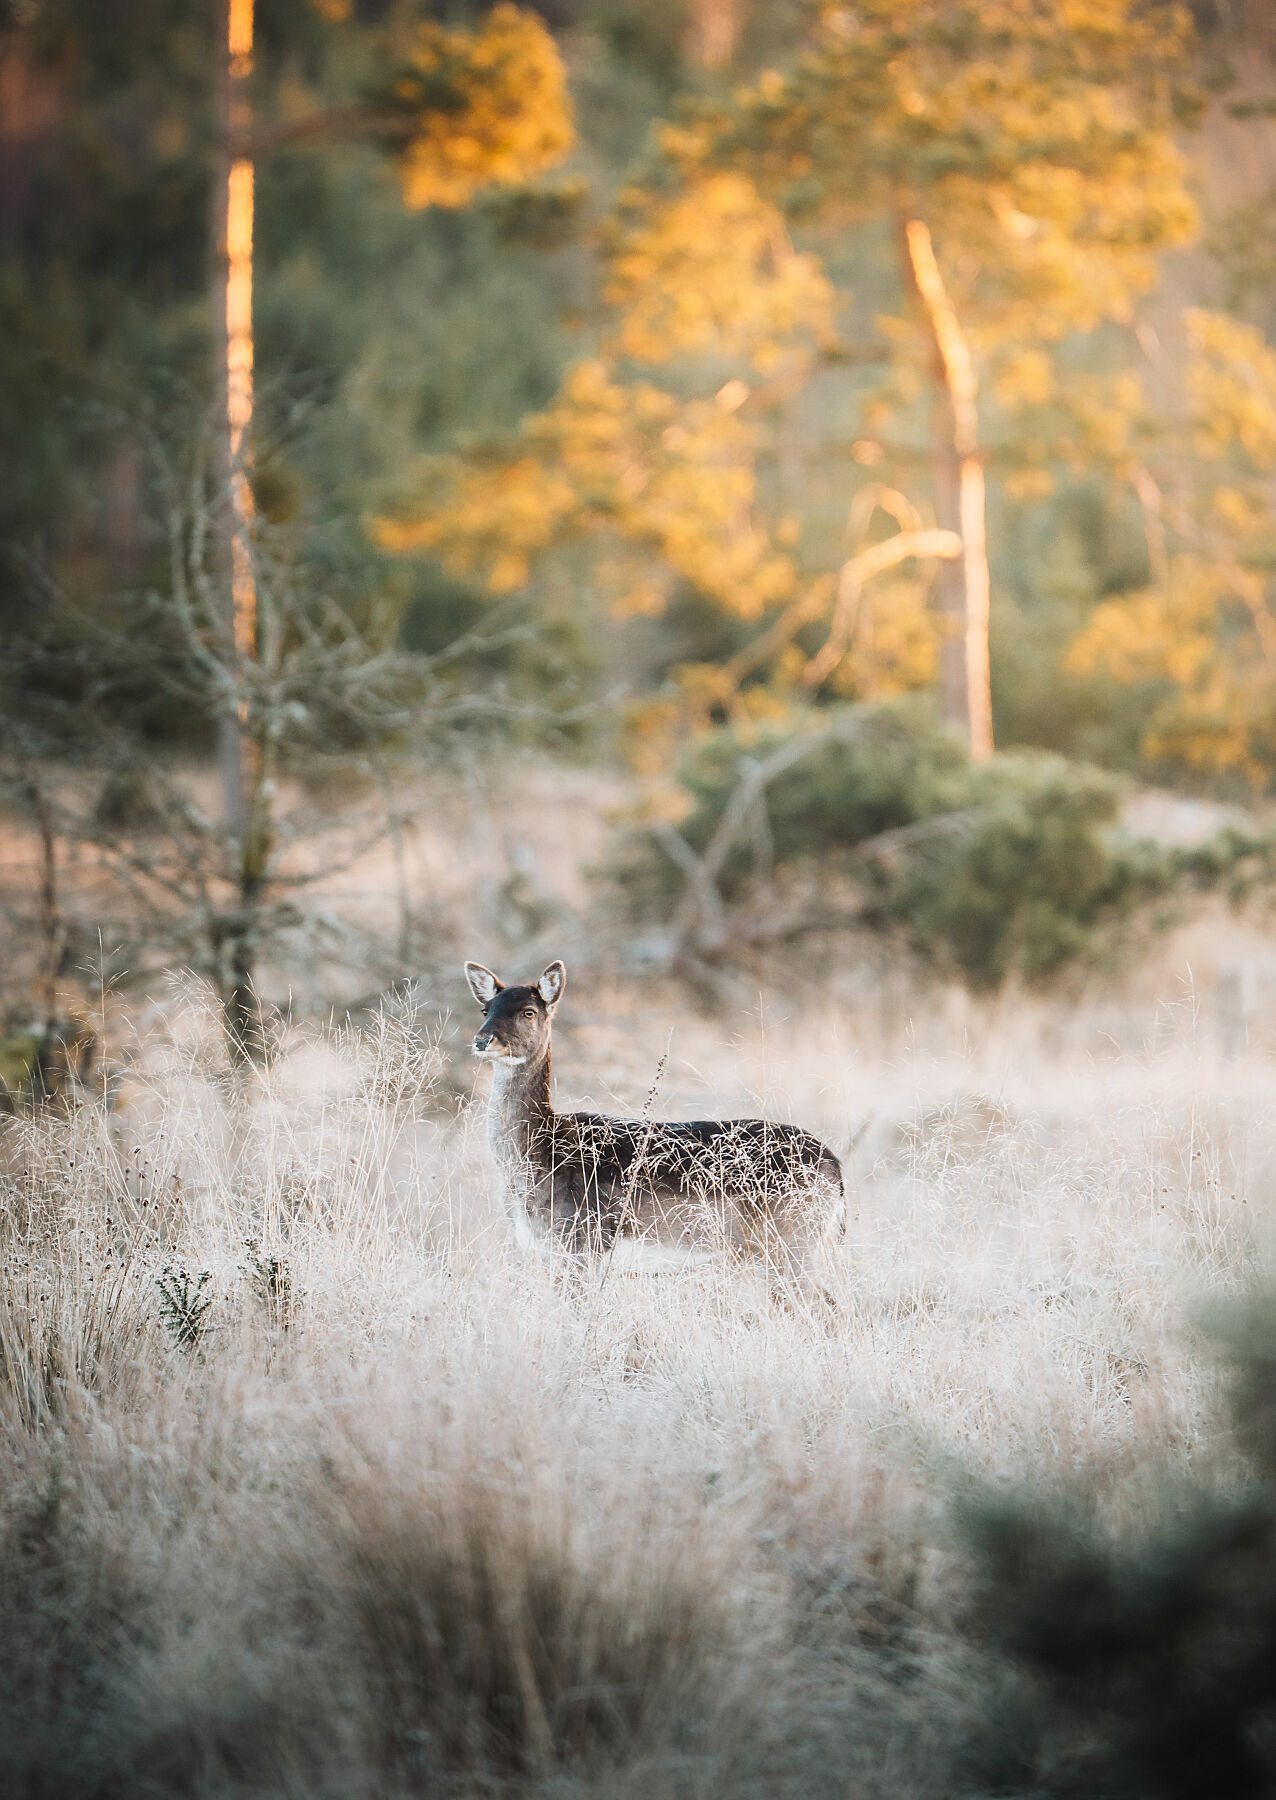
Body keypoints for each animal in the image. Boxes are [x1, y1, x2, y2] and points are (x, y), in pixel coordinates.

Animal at [464, 958, 845, 1301]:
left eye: (528, 1011)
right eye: (486, 1009)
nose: (483, 1040)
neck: (538, 1159)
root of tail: (836, 1170)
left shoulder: (581, 1241)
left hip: (792, 1240)